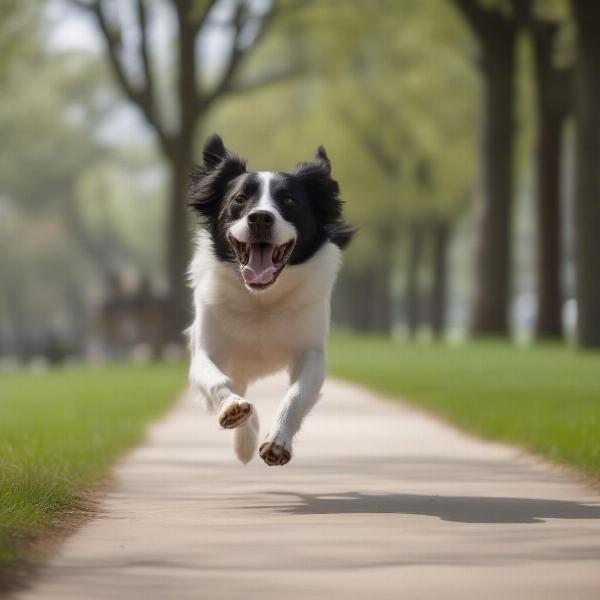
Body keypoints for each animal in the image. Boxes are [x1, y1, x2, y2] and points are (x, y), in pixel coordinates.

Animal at [185, 134, 350, 466]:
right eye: (239, 199)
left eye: (289, 201)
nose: (260, 217)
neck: (261, 301)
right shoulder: (206, 349)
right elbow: (217, 379)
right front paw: (233, 409)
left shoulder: (310, 352)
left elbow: (296, 395)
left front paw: (277, 443)